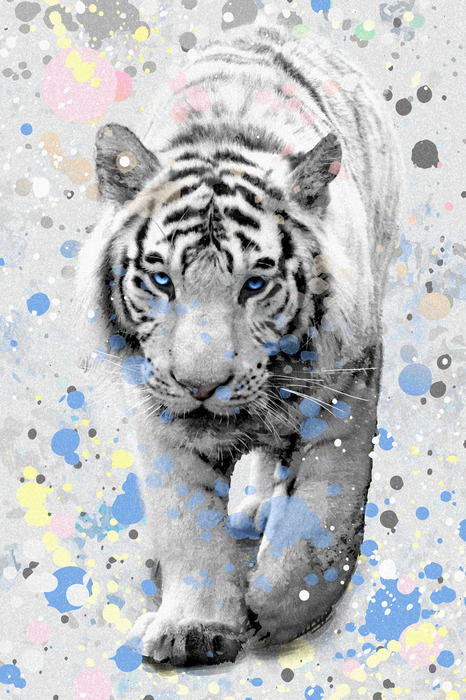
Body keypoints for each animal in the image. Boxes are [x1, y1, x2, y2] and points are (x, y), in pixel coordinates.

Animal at [77, 26, 401, 666]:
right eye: (161, 280)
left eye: (254, 284)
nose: (201, 385)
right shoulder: (160, 421)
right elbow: (189, 525)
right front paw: (195, 629)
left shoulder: (346, 399)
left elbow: (318, 521)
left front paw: (278, 607)